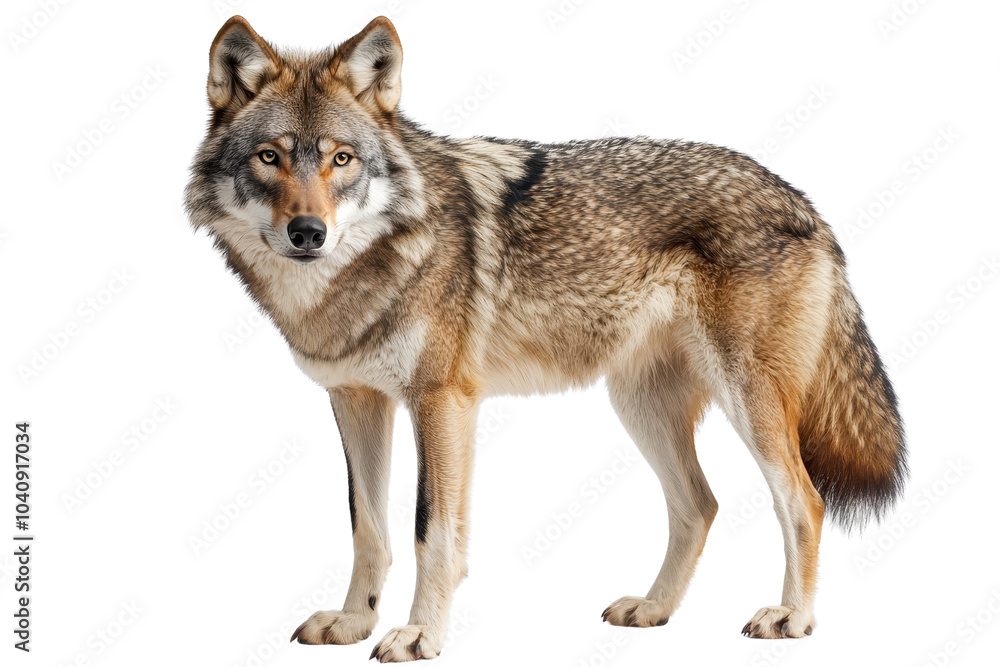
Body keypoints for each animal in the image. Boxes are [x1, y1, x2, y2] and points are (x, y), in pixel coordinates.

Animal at [185, 15, 906, 661]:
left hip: (747, 401)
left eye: (341, 159)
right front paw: (354, 622)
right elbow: (368, 526)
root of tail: (804, 200)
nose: (308, 232)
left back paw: (793, 618)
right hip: (639, 406)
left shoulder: (442, 401)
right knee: (700, 505)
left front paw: (419, 635)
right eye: (271, 157)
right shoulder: (356, 400)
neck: (364, 272)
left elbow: (430, 531)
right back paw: (655, 608)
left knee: (804, 501)